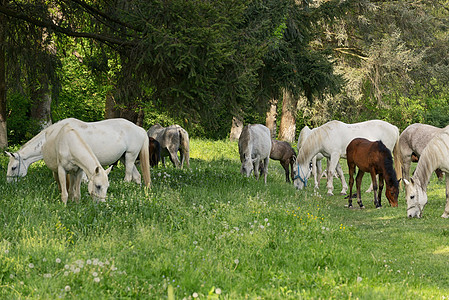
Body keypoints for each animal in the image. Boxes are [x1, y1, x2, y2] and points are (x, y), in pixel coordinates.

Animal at [5, 117, 150, 188]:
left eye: (13, 167)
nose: (9, 184)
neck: (58, 134)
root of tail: (140, 129)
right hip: (124, 158)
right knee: (137, 177)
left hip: (130, 157)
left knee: (128, 177)